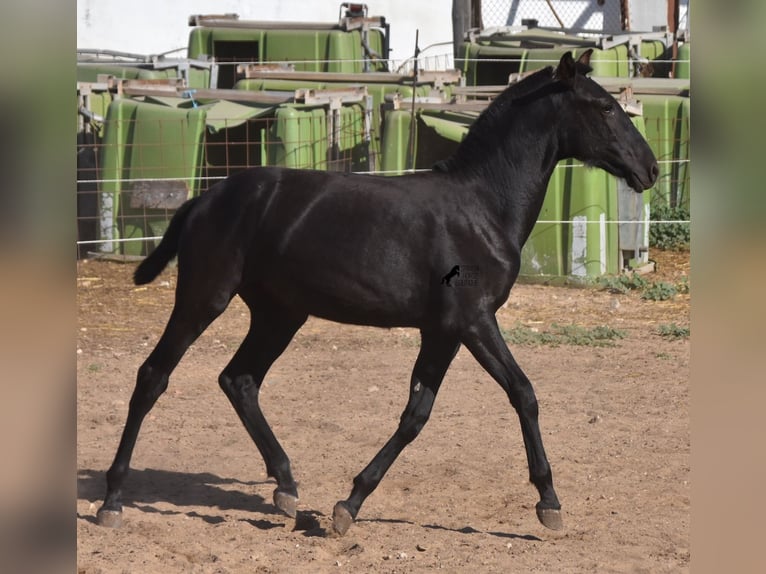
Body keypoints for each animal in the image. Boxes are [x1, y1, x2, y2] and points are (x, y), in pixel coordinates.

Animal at [97, 51, 660, 536]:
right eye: (605, 107)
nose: (650, 169)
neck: (481, 207)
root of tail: (203, 200)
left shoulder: (443, 331)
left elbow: (418, 414)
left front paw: (348, 503)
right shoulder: (473, 321)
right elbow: (521, 393)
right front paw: (549, 503)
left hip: (280, 314)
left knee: (239, 380)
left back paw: (286, 487)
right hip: (205, 298)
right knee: (154, 376)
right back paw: (112, 499)